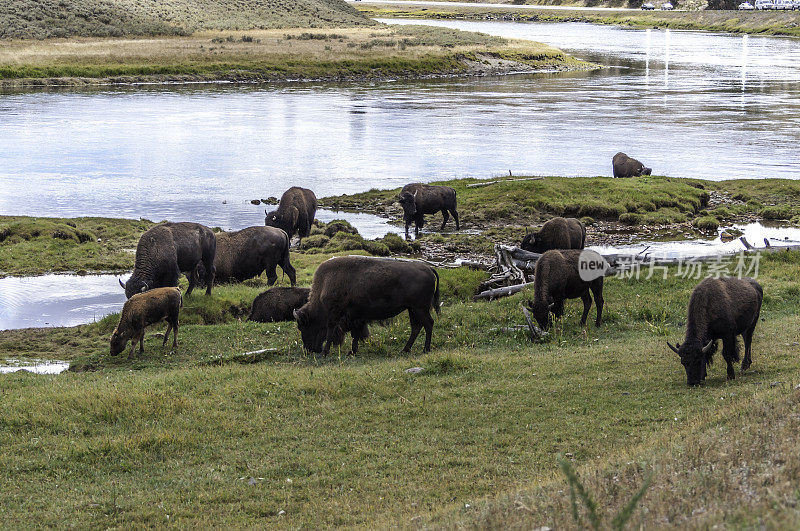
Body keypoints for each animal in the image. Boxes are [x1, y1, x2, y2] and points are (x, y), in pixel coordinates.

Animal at [294, 256, 440, 356]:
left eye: (304, 326)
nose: (309, 349)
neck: (325, 284)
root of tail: (428, 268)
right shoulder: (354, 316)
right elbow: (355, 334)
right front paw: (352, 351)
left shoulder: (335, 316)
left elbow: (332, 333)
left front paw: (326, 352)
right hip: (412, 309)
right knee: (416, 327)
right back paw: (405, 349)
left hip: (420, 308)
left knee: (428, 323)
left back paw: (425, 349)